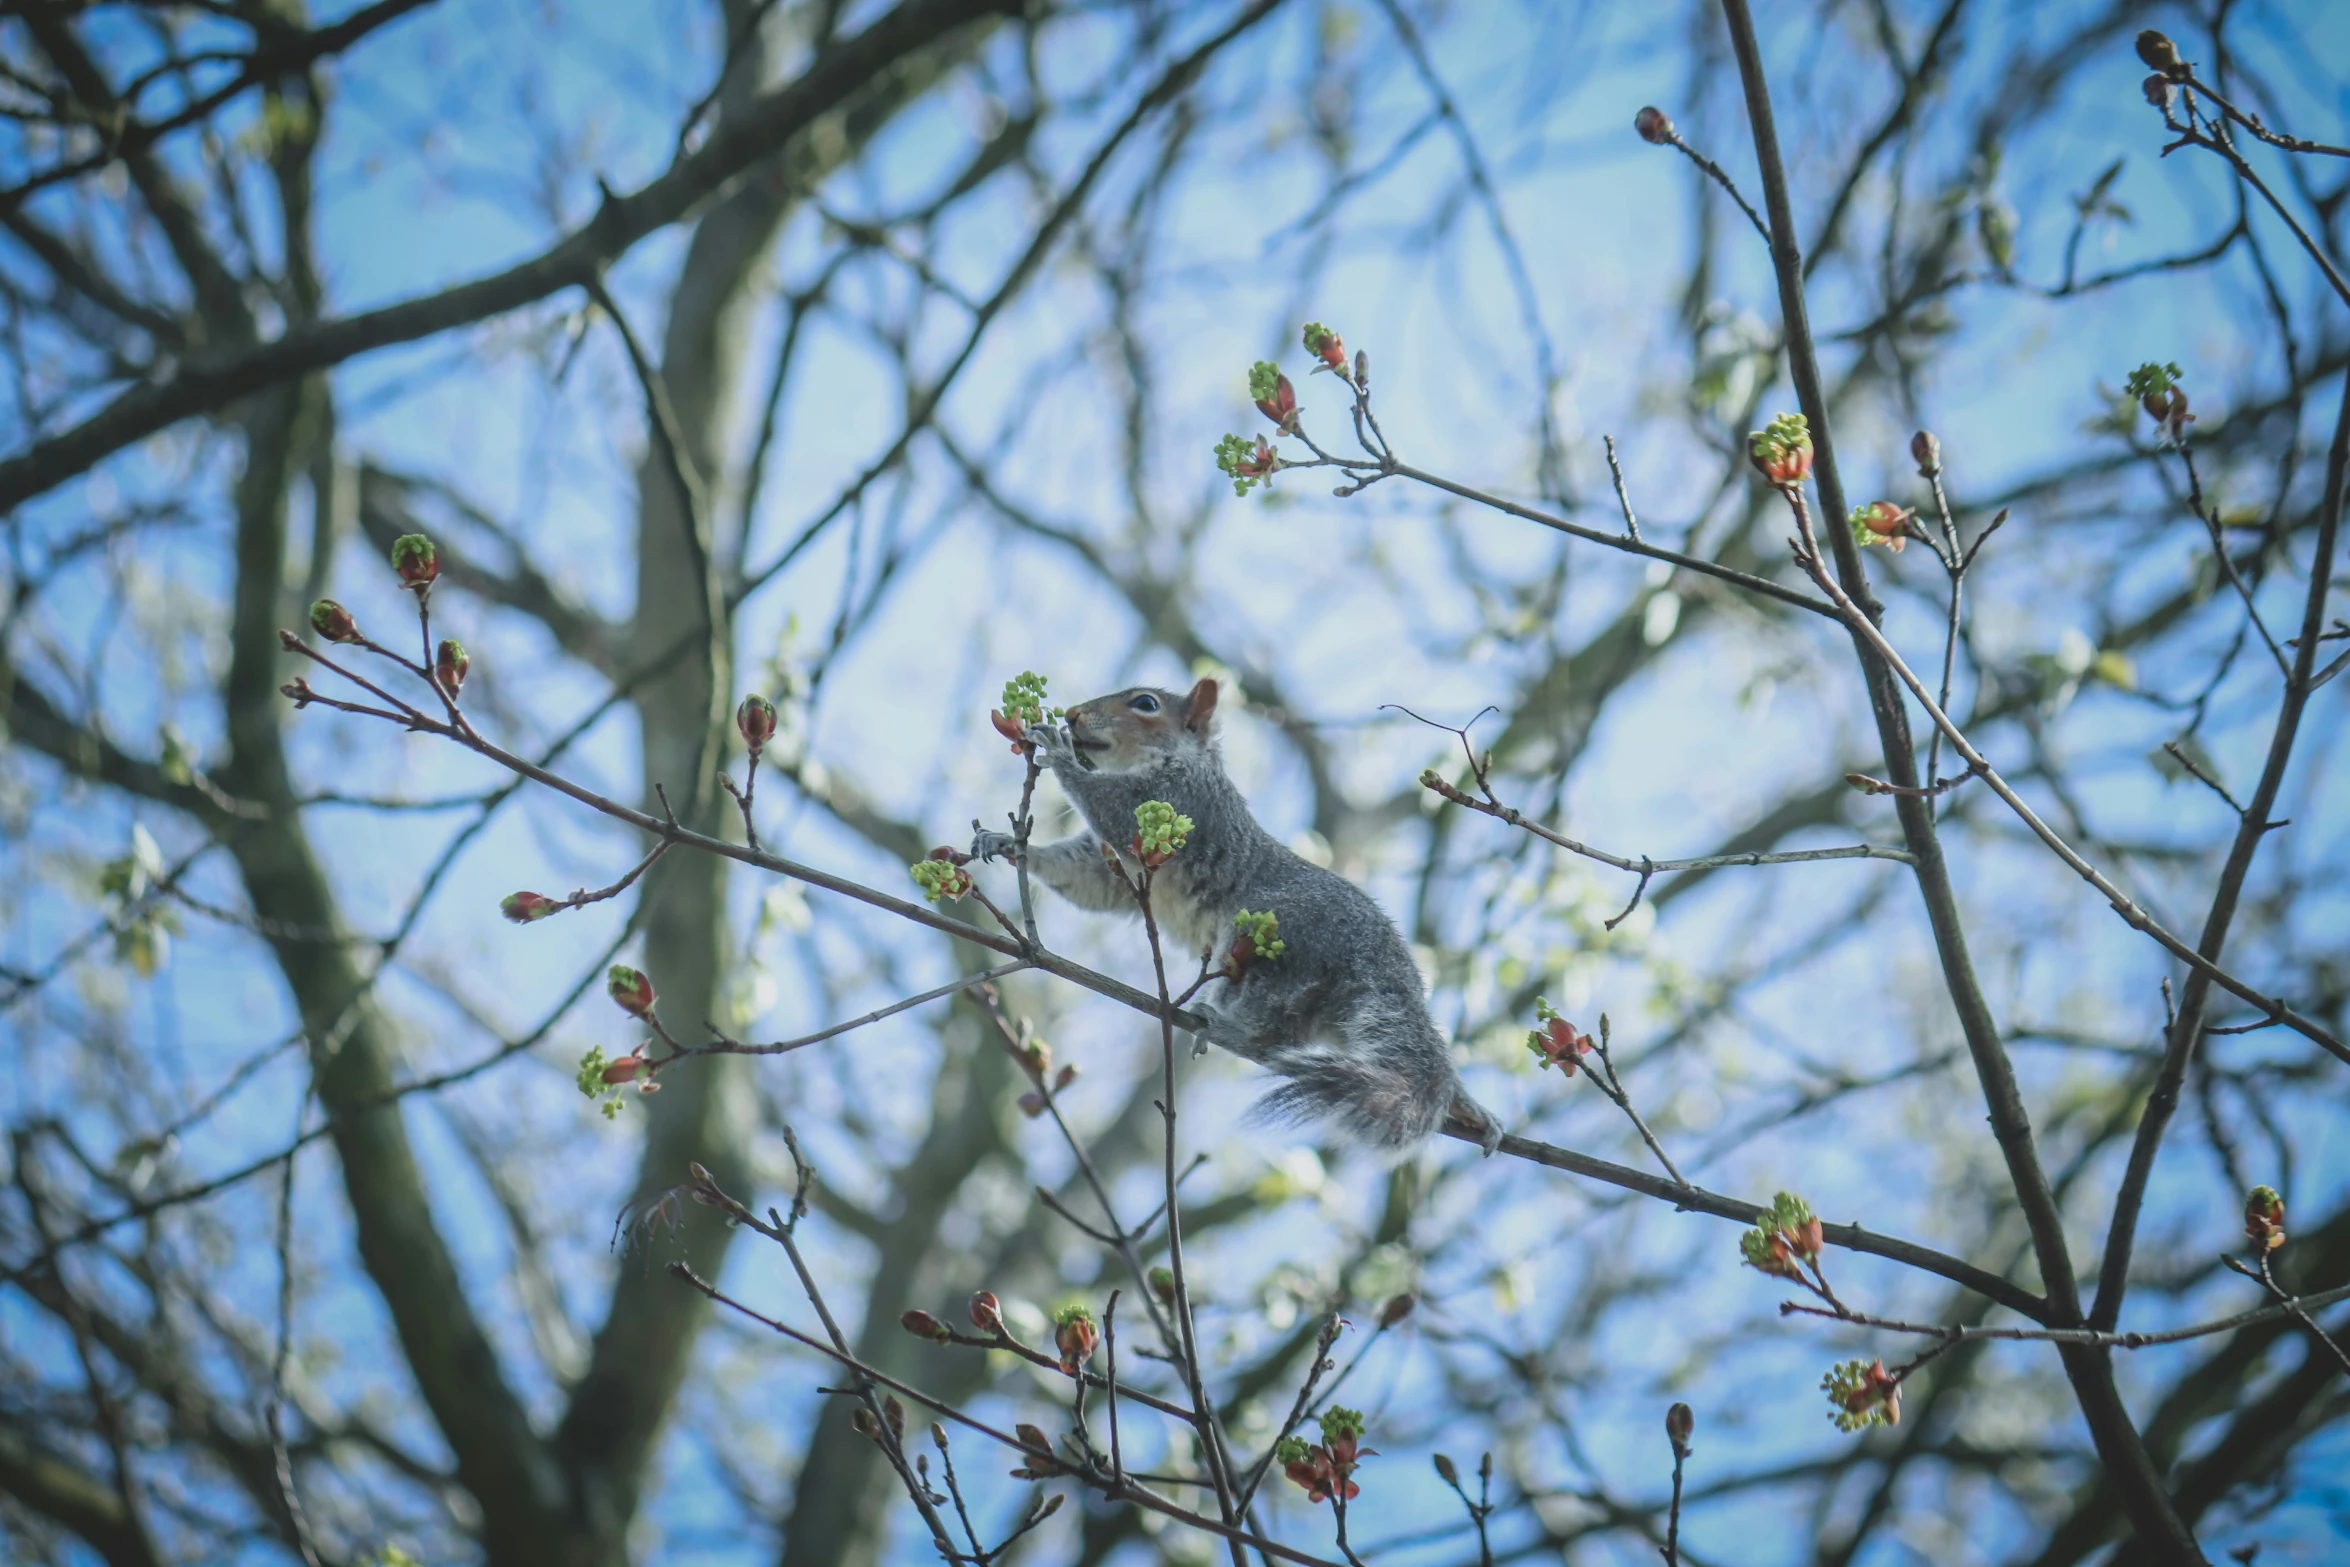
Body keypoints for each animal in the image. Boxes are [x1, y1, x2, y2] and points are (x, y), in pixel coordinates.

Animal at [977, 681, 1504, 1160]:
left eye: (1145, 704)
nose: (1073, 716)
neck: (1169, 760)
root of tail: (1385, 968)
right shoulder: (1114, 870)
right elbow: (1082, 876)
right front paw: (1006, 841)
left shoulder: (1183, 799)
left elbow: (1111, 807)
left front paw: (1056, 750)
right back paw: (1471, 1108)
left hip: (1278, 950)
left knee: (1268, 1035)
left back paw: (1219, 1025)